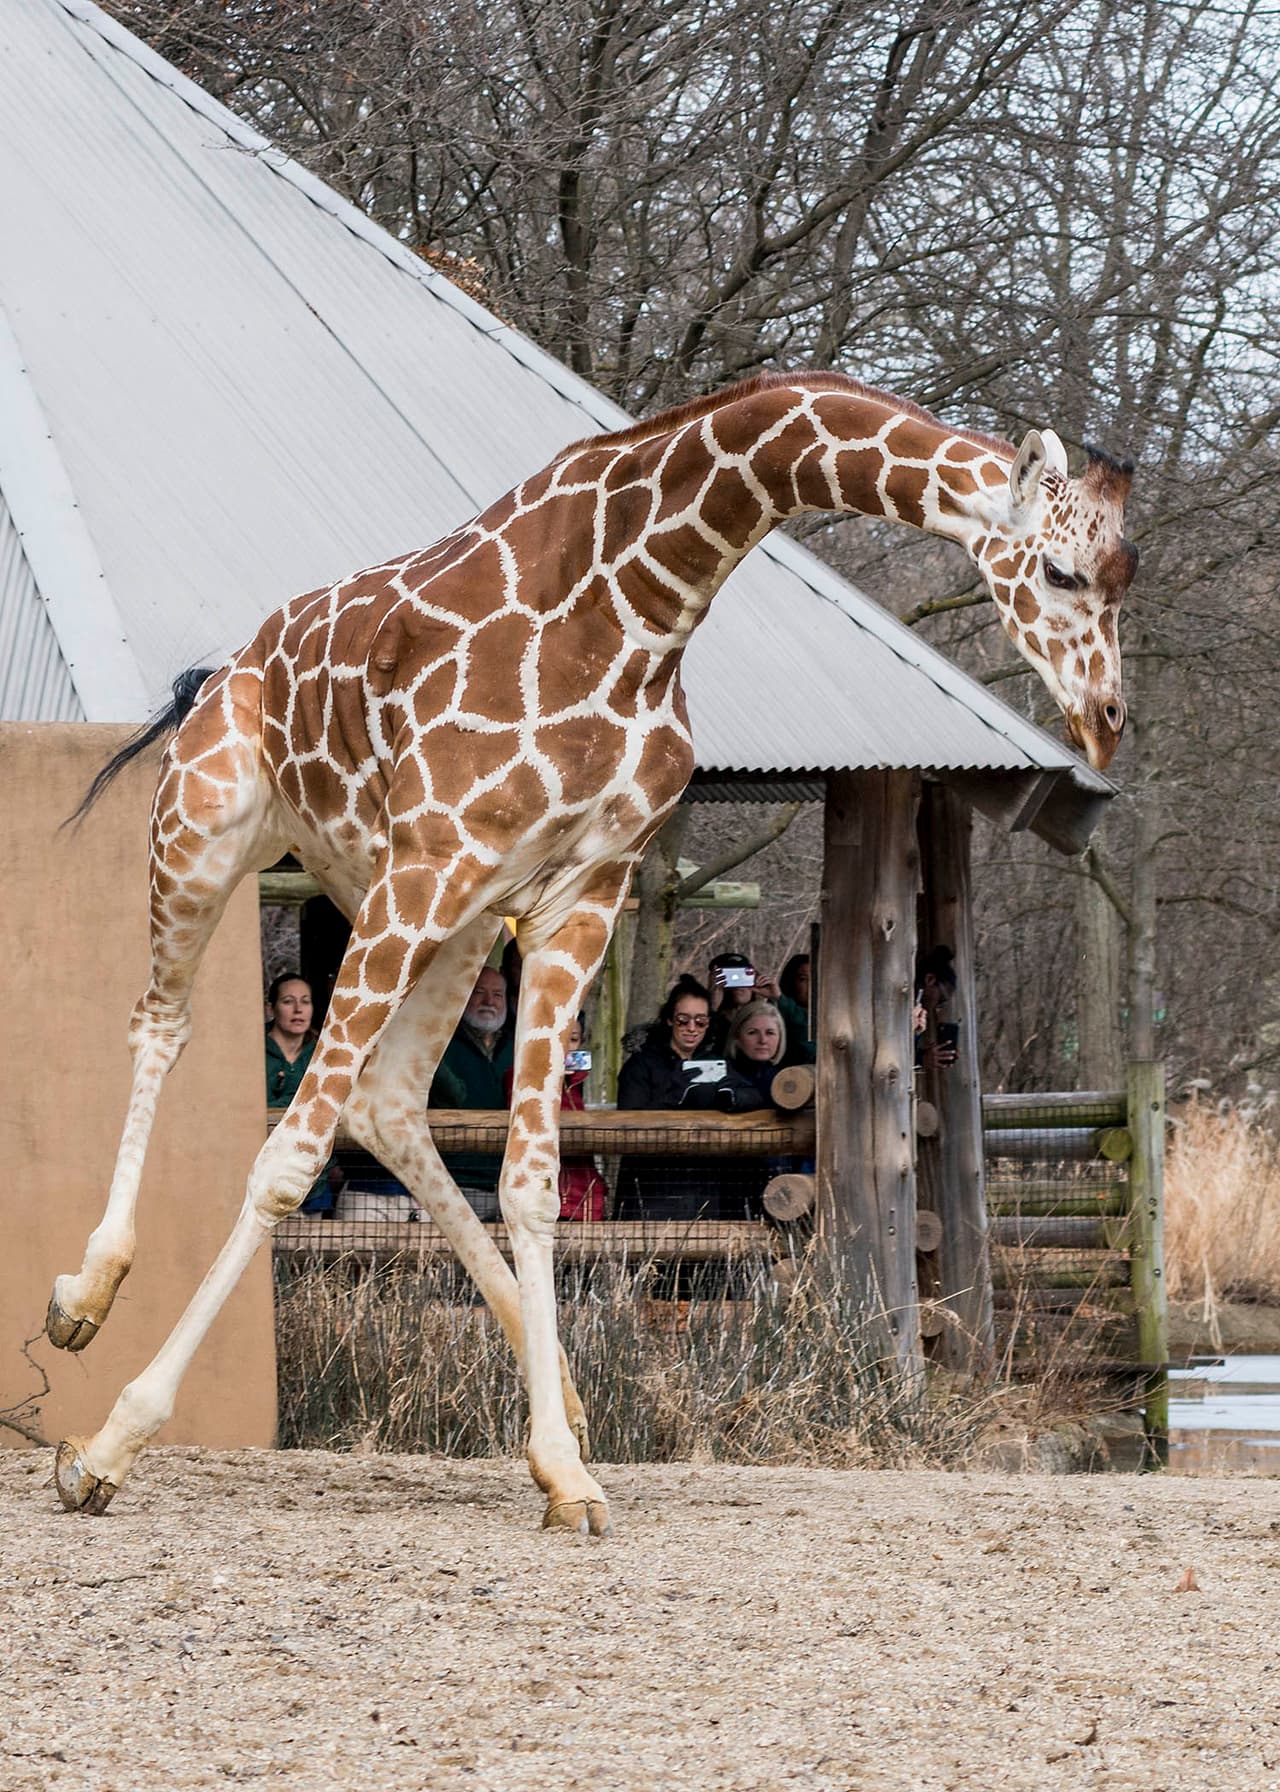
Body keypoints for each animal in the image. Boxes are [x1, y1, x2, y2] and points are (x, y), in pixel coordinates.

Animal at [48, 371, 1136, 1533]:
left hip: (437, 912)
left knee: (386, 1102)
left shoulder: (575, 894)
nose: (1108, 719)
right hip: (215, 837)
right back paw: (82, 1296)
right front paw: (108, 1444)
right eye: (1061, 568)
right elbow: (285, 1163)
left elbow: (529, 1180)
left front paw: (563, 1467)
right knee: (163, 1023)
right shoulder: (433, 862)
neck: (639, 607)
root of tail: (226, 667)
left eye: (1127, 571)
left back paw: (561, 1390)